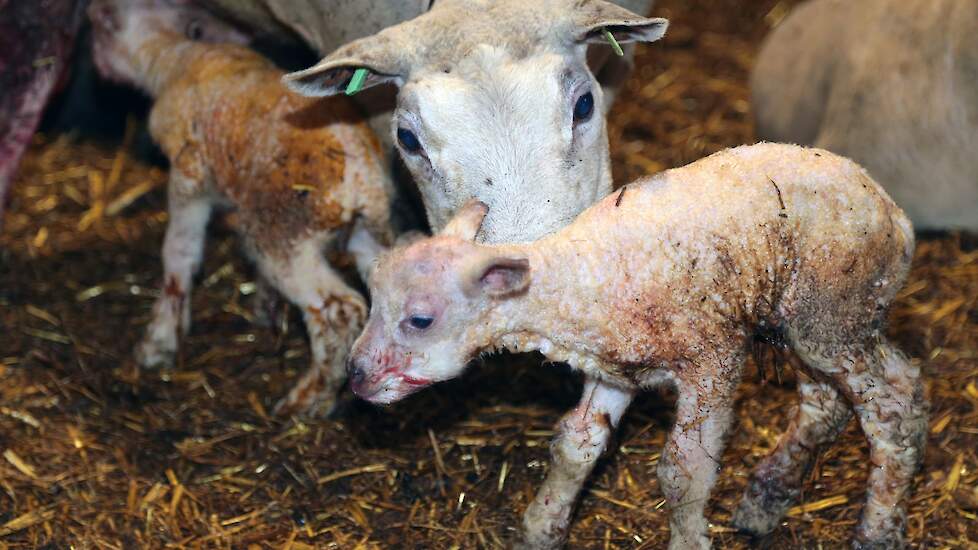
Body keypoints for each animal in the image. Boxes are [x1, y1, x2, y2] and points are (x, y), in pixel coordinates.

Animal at [86, 0, 392, 416]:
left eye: (104, 26)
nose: (91, 13)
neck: (173, 57)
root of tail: (362, 178)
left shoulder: (189, 175)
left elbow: (179, 254)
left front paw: (158, 343)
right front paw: (264, 309)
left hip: (283, 232)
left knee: (340, 311)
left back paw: (307, 400)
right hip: (362, 232)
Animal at [348, 144, 924, 548]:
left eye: (420, 320)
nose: (356, 377)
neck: (579, 277)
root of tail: (896, 214)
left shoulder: (711, 360)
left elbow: (684, 472)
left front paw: (688, 541)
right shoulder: (613, 371)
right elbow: (575, 445)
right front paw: (539, 530)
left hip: (835, 310)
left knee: (893, 405)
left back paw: (877, 529)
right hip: (810, 317)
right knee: (833, 399)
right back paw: (766, 498)